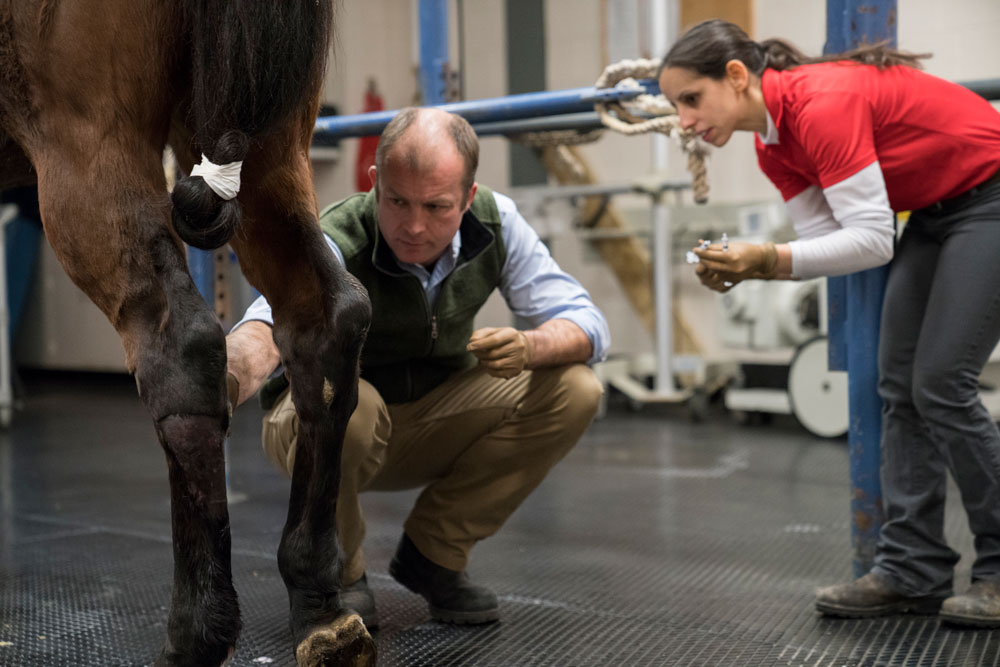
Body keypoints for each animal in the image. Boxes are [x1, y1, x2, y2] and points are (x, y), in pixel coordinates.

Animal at [0, 2, 376, 664]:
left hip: (88, 151)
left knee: (184, 344)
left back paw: (197, 631)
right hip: (268, 149)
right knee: (328, 324)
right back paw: (318, 605)